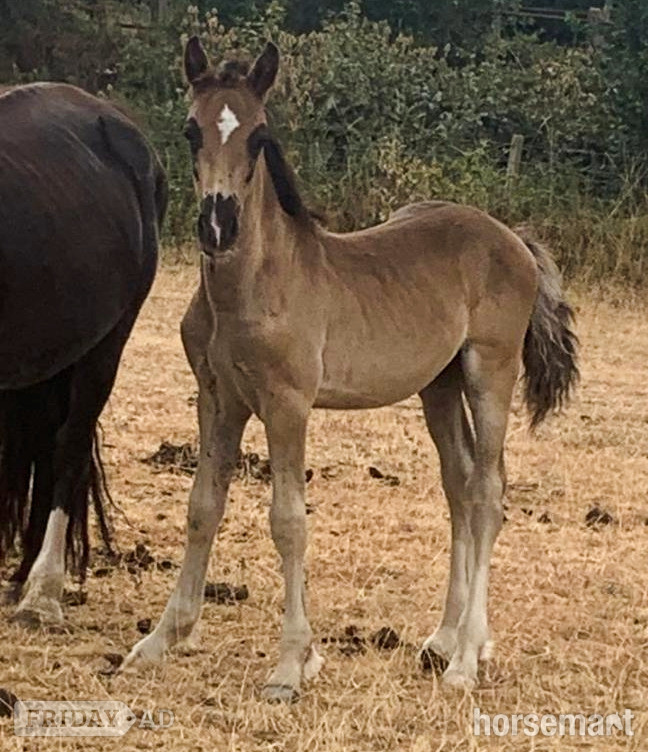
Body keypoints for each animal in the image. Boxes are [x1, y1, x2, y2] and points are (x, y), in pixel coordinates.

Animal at [123, 38, 578, 700]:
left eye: (259, 136)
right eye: (190, 130)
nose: (217, 225)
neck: (252, 286)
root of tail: (513, 238)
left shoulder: (287, 403)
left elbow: (288, 520)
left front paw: (292, 665)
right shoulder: (217, 399)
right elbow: (202, 507)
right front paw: (160, 639)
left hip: (489, 372)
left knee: (489, 493)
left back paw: (466, 661)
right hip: (438, 388)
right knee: (461, 486)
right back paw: (446, 640)